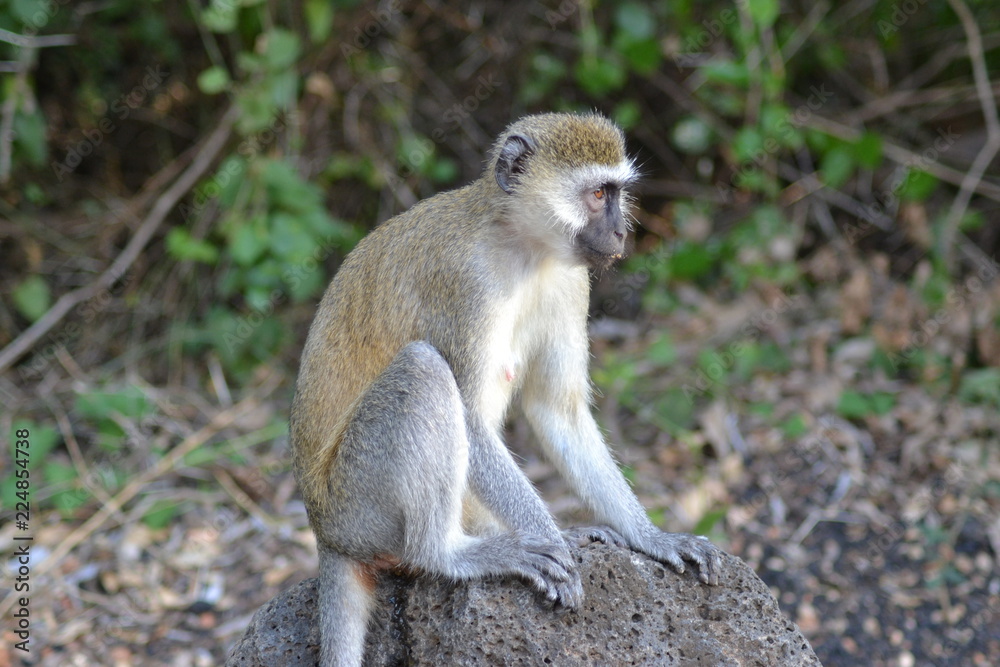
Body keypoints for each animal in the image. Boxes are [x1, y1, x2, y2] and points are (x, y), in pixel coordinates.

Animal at [289, 111, 722, 666]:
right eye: (598, 195)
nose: (622, 231)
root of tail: (325, 534)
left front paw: (651, 537)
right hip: (357, 505)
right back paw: (451, 553)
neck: (520, 244)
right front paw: (553, 542)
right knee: (424, 370)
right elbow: (472, 421)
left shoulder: (570, 280)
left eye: (617, 193)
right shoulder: (463, 282)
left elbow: (557, 411)